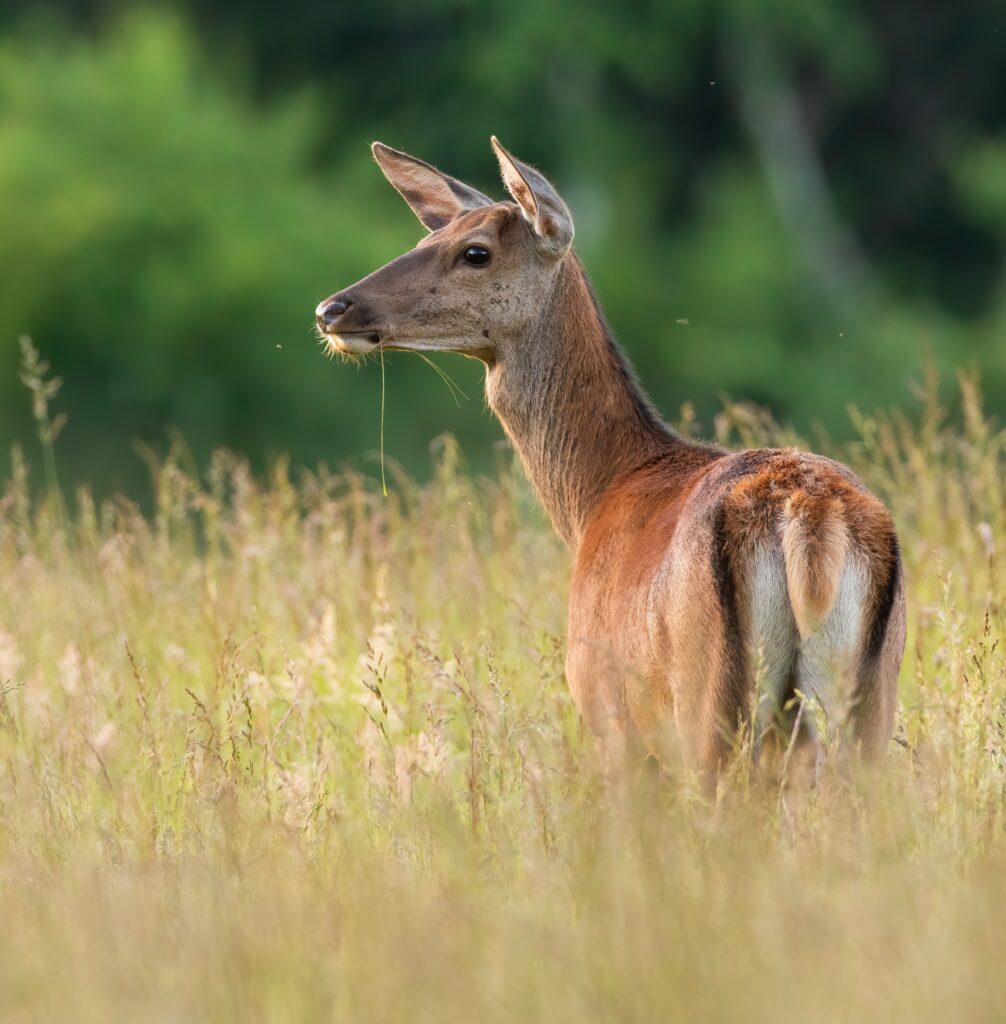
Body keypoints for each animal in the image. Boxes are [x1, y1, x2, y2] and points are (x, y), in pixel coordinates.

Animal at [313, 138, 905, 790]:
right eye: (425, 239)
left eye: (476, 252)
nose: (332, 308)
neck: (599, 494)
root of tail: (809, 515)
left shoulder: (609, 714)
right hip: (869, 698)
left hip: (708, 705)